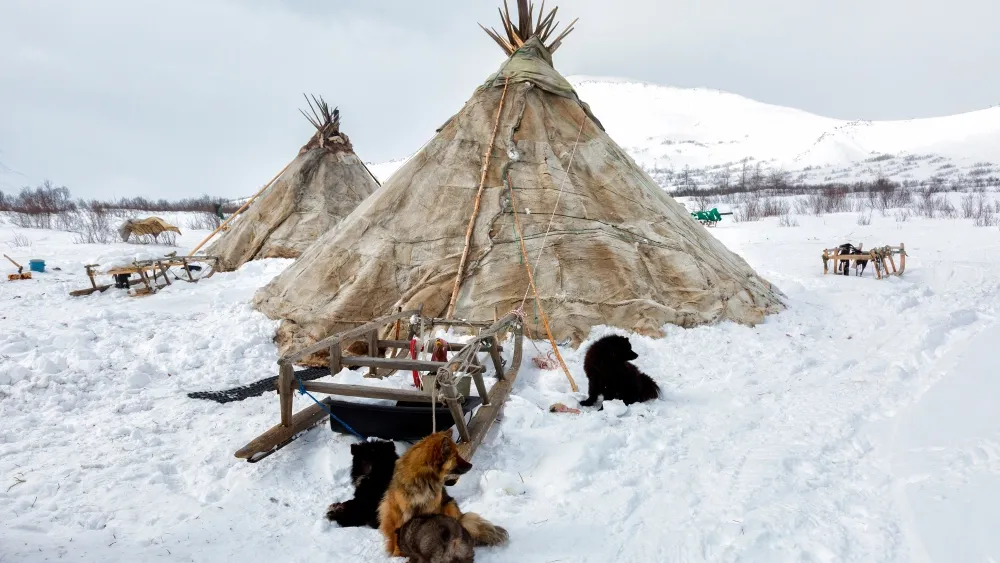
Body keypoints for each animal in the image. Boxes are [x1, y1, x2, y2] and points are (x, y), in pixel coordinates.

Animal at [380, 434, 512, 556]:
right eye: (455, 456)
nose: (471, 465)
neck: (423, 479)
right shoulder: (403, 511)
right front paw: (398, 553)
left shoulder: (432, 509)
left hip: (449, 505)